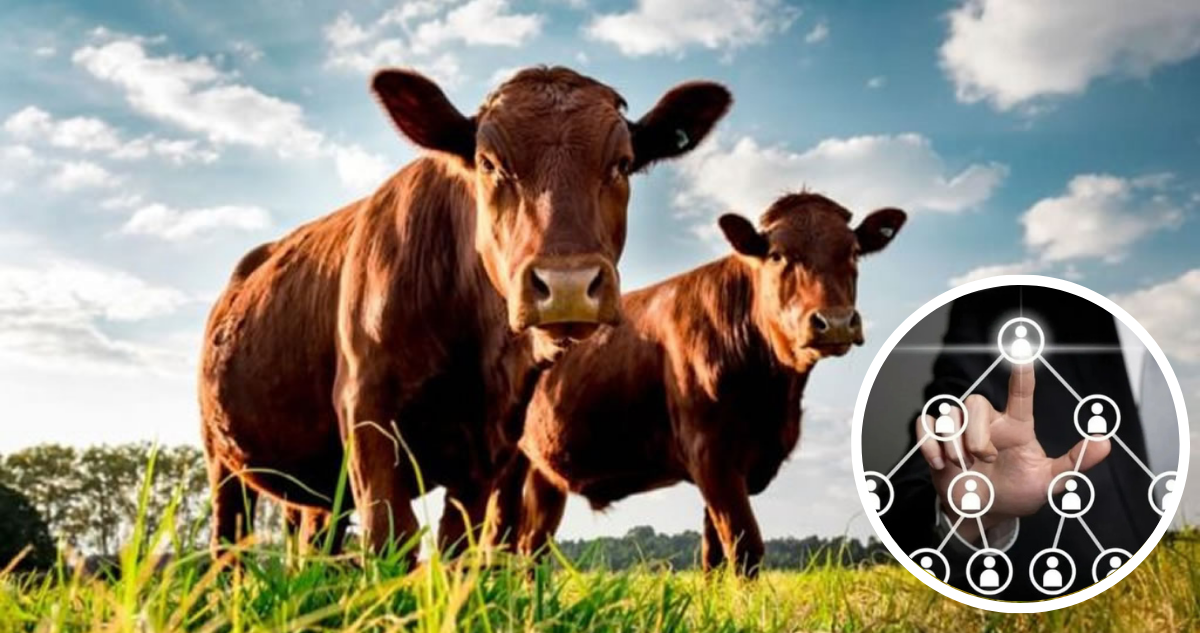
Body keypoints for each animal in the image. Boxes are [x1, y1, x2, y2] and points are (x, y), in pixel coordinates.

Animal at [198, 66, 731, 562]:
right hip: (222, 456)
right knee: (229, 543)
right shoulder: (364, 409)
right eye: (488, 163)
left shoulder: (488, 447)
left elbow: (459, 545)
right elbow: (391, 533)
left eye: (621, 164)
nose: (567, 285)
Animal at [512, 193, 906, 576]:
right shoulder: (710, 452)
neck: (774, 397)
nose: (835, 321)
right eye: (777, 254)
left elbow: (712, 555)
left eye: (853, 251)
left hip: (544, 473)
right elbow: (745, 548)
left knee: (532, 546)